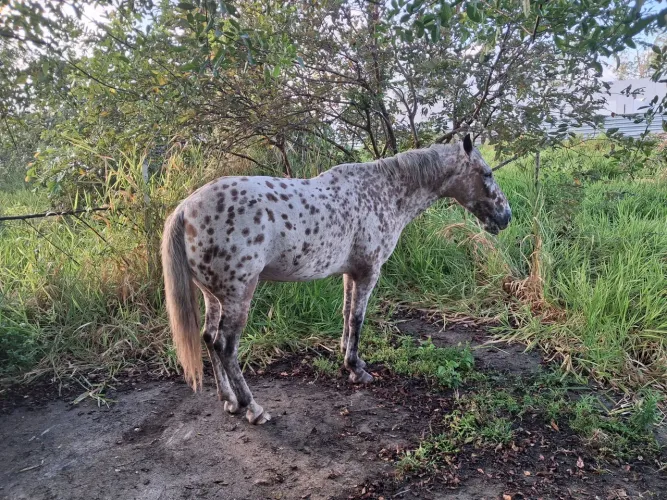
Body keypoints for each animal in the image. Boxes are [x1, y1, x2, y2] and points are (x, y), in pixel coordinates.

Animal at [161, 134, 511, 425]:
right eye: (487, 173)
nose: (505, 217)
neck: (385, 191)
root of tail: (186, 209)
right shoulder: (369, 271)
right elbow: (358, 318)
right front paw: (356, 369)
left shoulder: (349, 272)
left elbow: (345, 313)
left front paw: (349, 357)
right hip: (238, 296)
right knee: (226, 346)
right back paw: (253, 408)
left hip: (213, 297)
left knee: (208, 339)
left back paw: (230, 401)